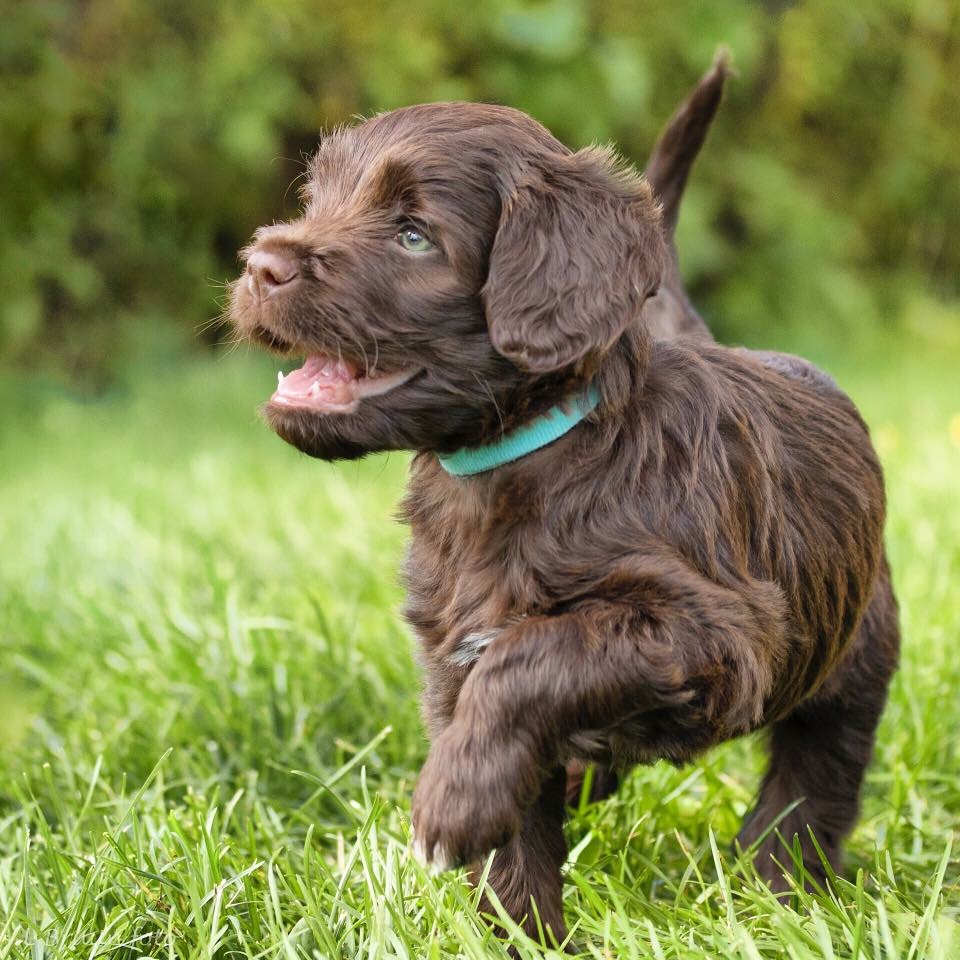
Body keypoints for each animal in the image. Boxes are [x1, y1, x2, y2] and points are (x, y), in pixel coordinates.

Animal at [230, 56, 900, 946]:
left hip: (853, 650)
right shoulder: (452, 651)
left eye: (413, 235)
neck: (528, 452)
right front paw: (518, 936)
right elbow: (512, 804)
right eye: (317, 202)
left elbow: (532, 656)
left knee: (812, 783)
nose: (261, 265)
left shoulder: (719, 629)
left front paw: (451, 804)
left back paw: (779, 902)